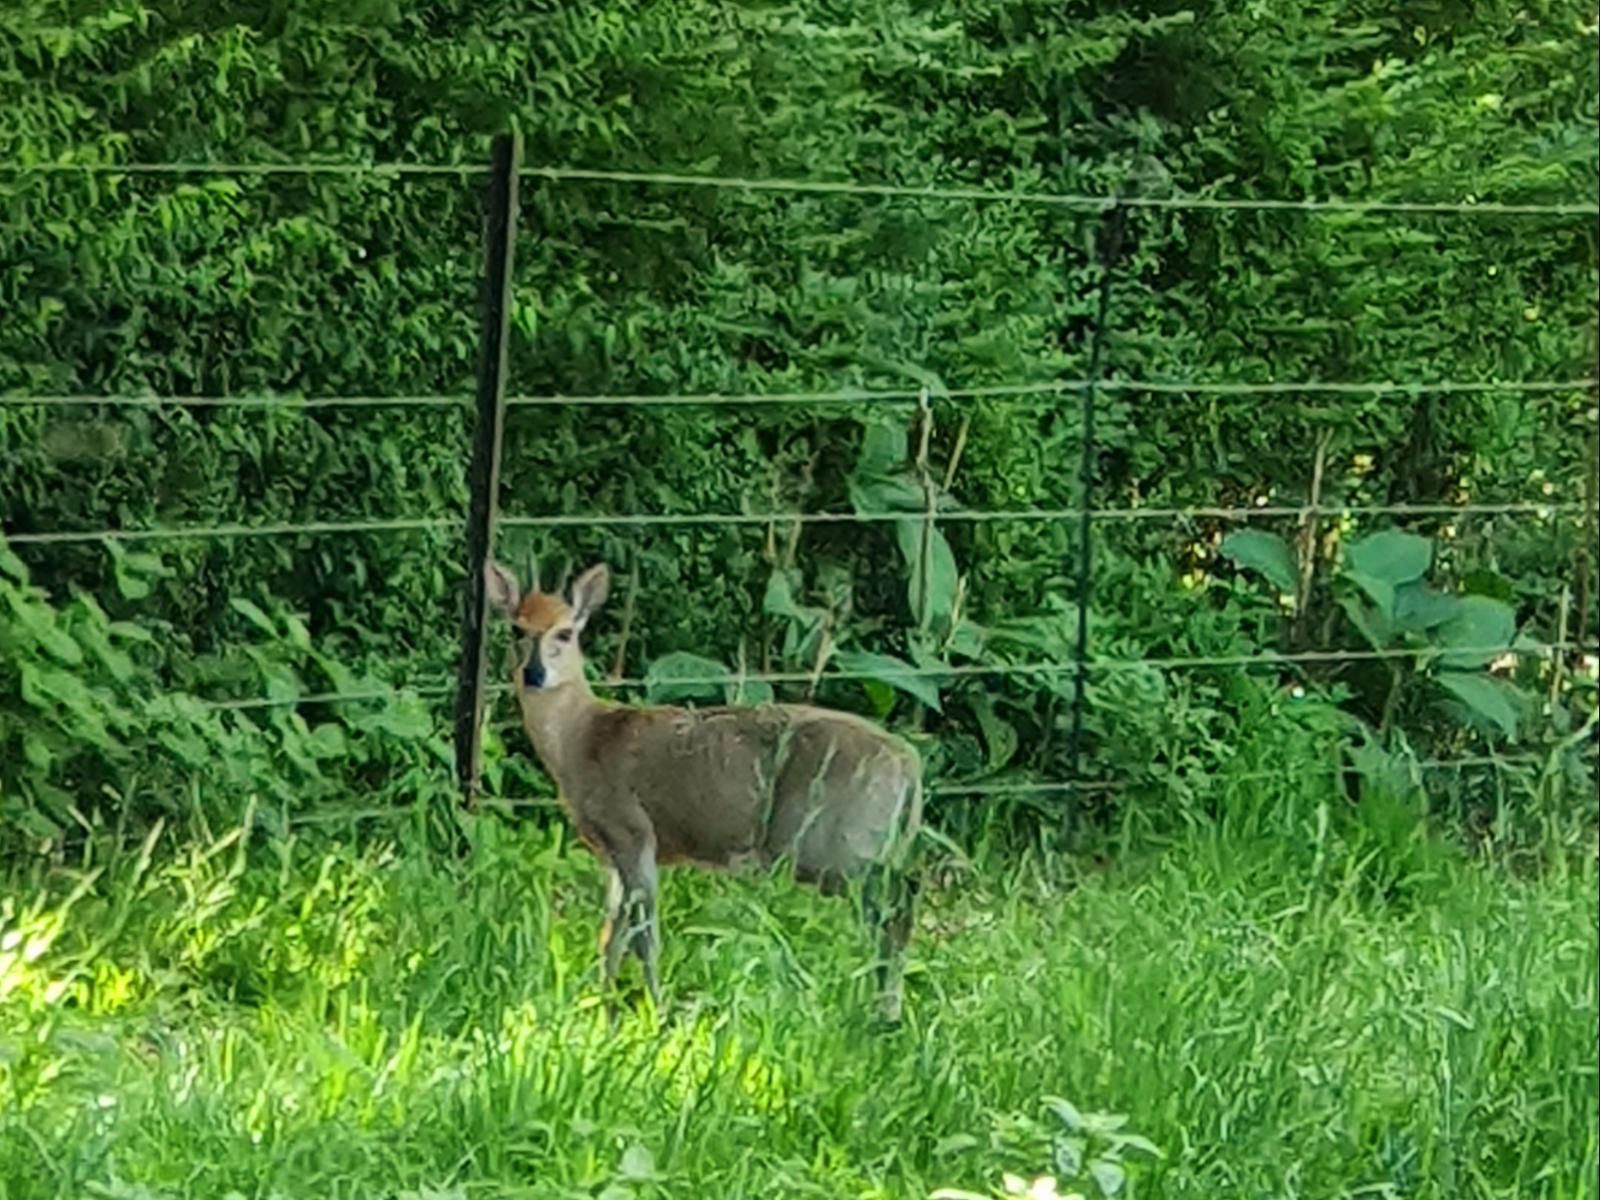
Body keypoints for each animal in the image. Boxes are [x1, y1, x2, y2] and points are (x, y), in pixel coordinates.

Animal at [480, 563, 921, 1024]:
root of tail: (910, 766)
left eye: (565, 632)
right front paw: (601, 1005)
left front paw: (653, 1010)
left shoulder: (633, 830)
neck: (581, 740)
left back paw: (886, 1013)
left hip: (835, 842)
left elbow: (644, 935)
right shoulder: (610, 850)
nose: (534, 674)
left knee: (897, 908)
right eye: (516, 629)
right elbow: (612, 933)